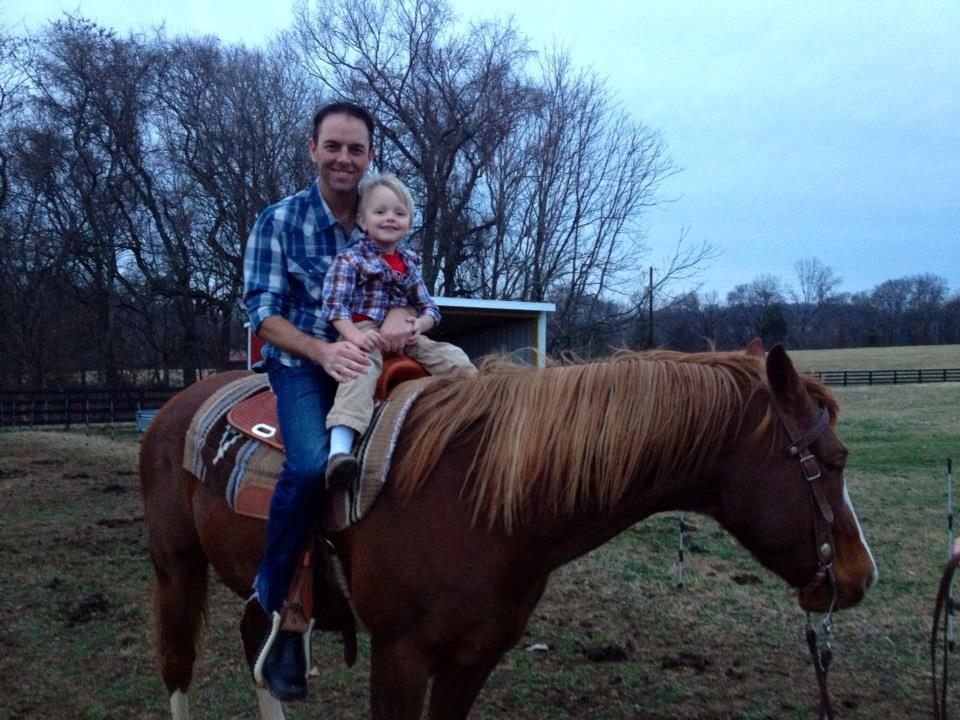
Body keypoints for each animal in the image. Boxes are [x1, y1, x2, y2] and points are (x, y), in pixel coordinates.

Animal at [139, 342, 877, 720]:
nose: (859, 576)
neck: (483, 498)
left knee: (255, 647)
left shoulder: (475, 655)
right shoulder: (399, 653)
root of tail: (172, 406)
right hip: (176, 570)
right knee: (177, 669)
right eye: (834, 460)